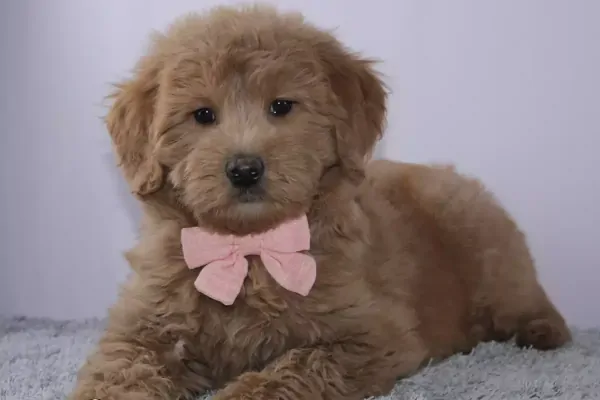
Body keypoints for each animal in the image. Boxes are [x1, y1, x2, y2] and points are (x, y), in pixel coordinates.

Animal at [69, 3, 568, 400]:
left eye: (281, 106)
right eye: (203, 115)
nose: (244, 168)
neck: (248, 250)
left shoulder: (372, 335)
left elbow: (297, 368)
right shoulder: (140, 330)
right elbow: (118, 373)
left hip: (489, 251)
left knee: (527, 300)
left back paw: (540, 330)